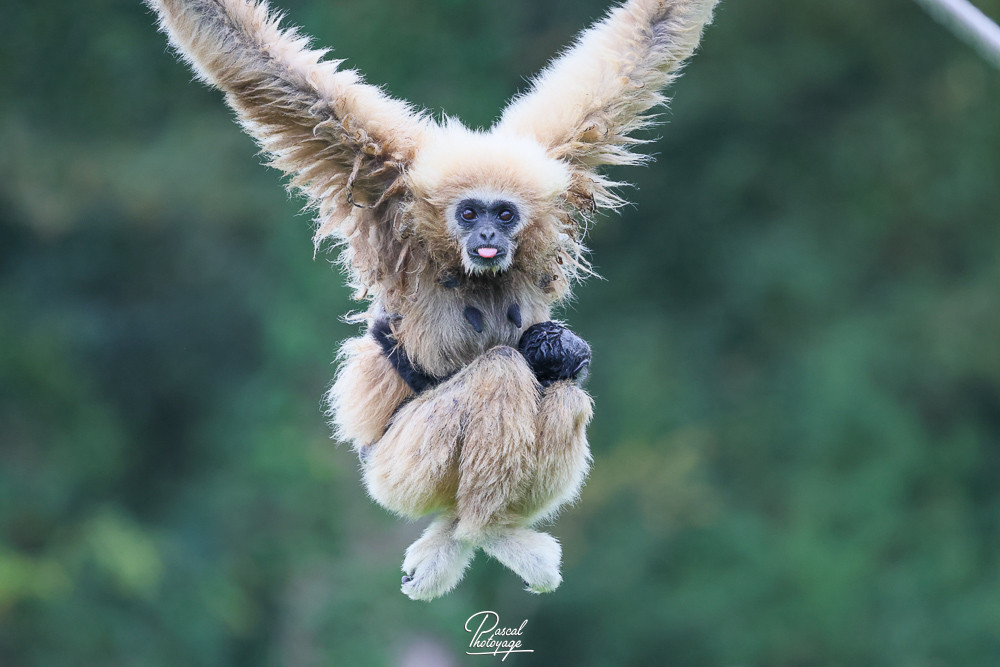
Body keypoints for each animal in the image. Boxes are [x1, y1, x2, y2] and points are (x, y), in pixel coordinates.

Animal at [147, 0, 719, 600]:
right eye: (469, 212)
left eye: (505, 213)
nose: (487, 233)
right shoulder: (382, 185)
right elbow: (266, 72)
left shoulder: (563, 161)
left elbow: (639, 51)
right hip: (398, 473)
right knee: (500, 371)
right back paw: (484, 530)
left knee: (561, 393)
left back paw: (478, 528)